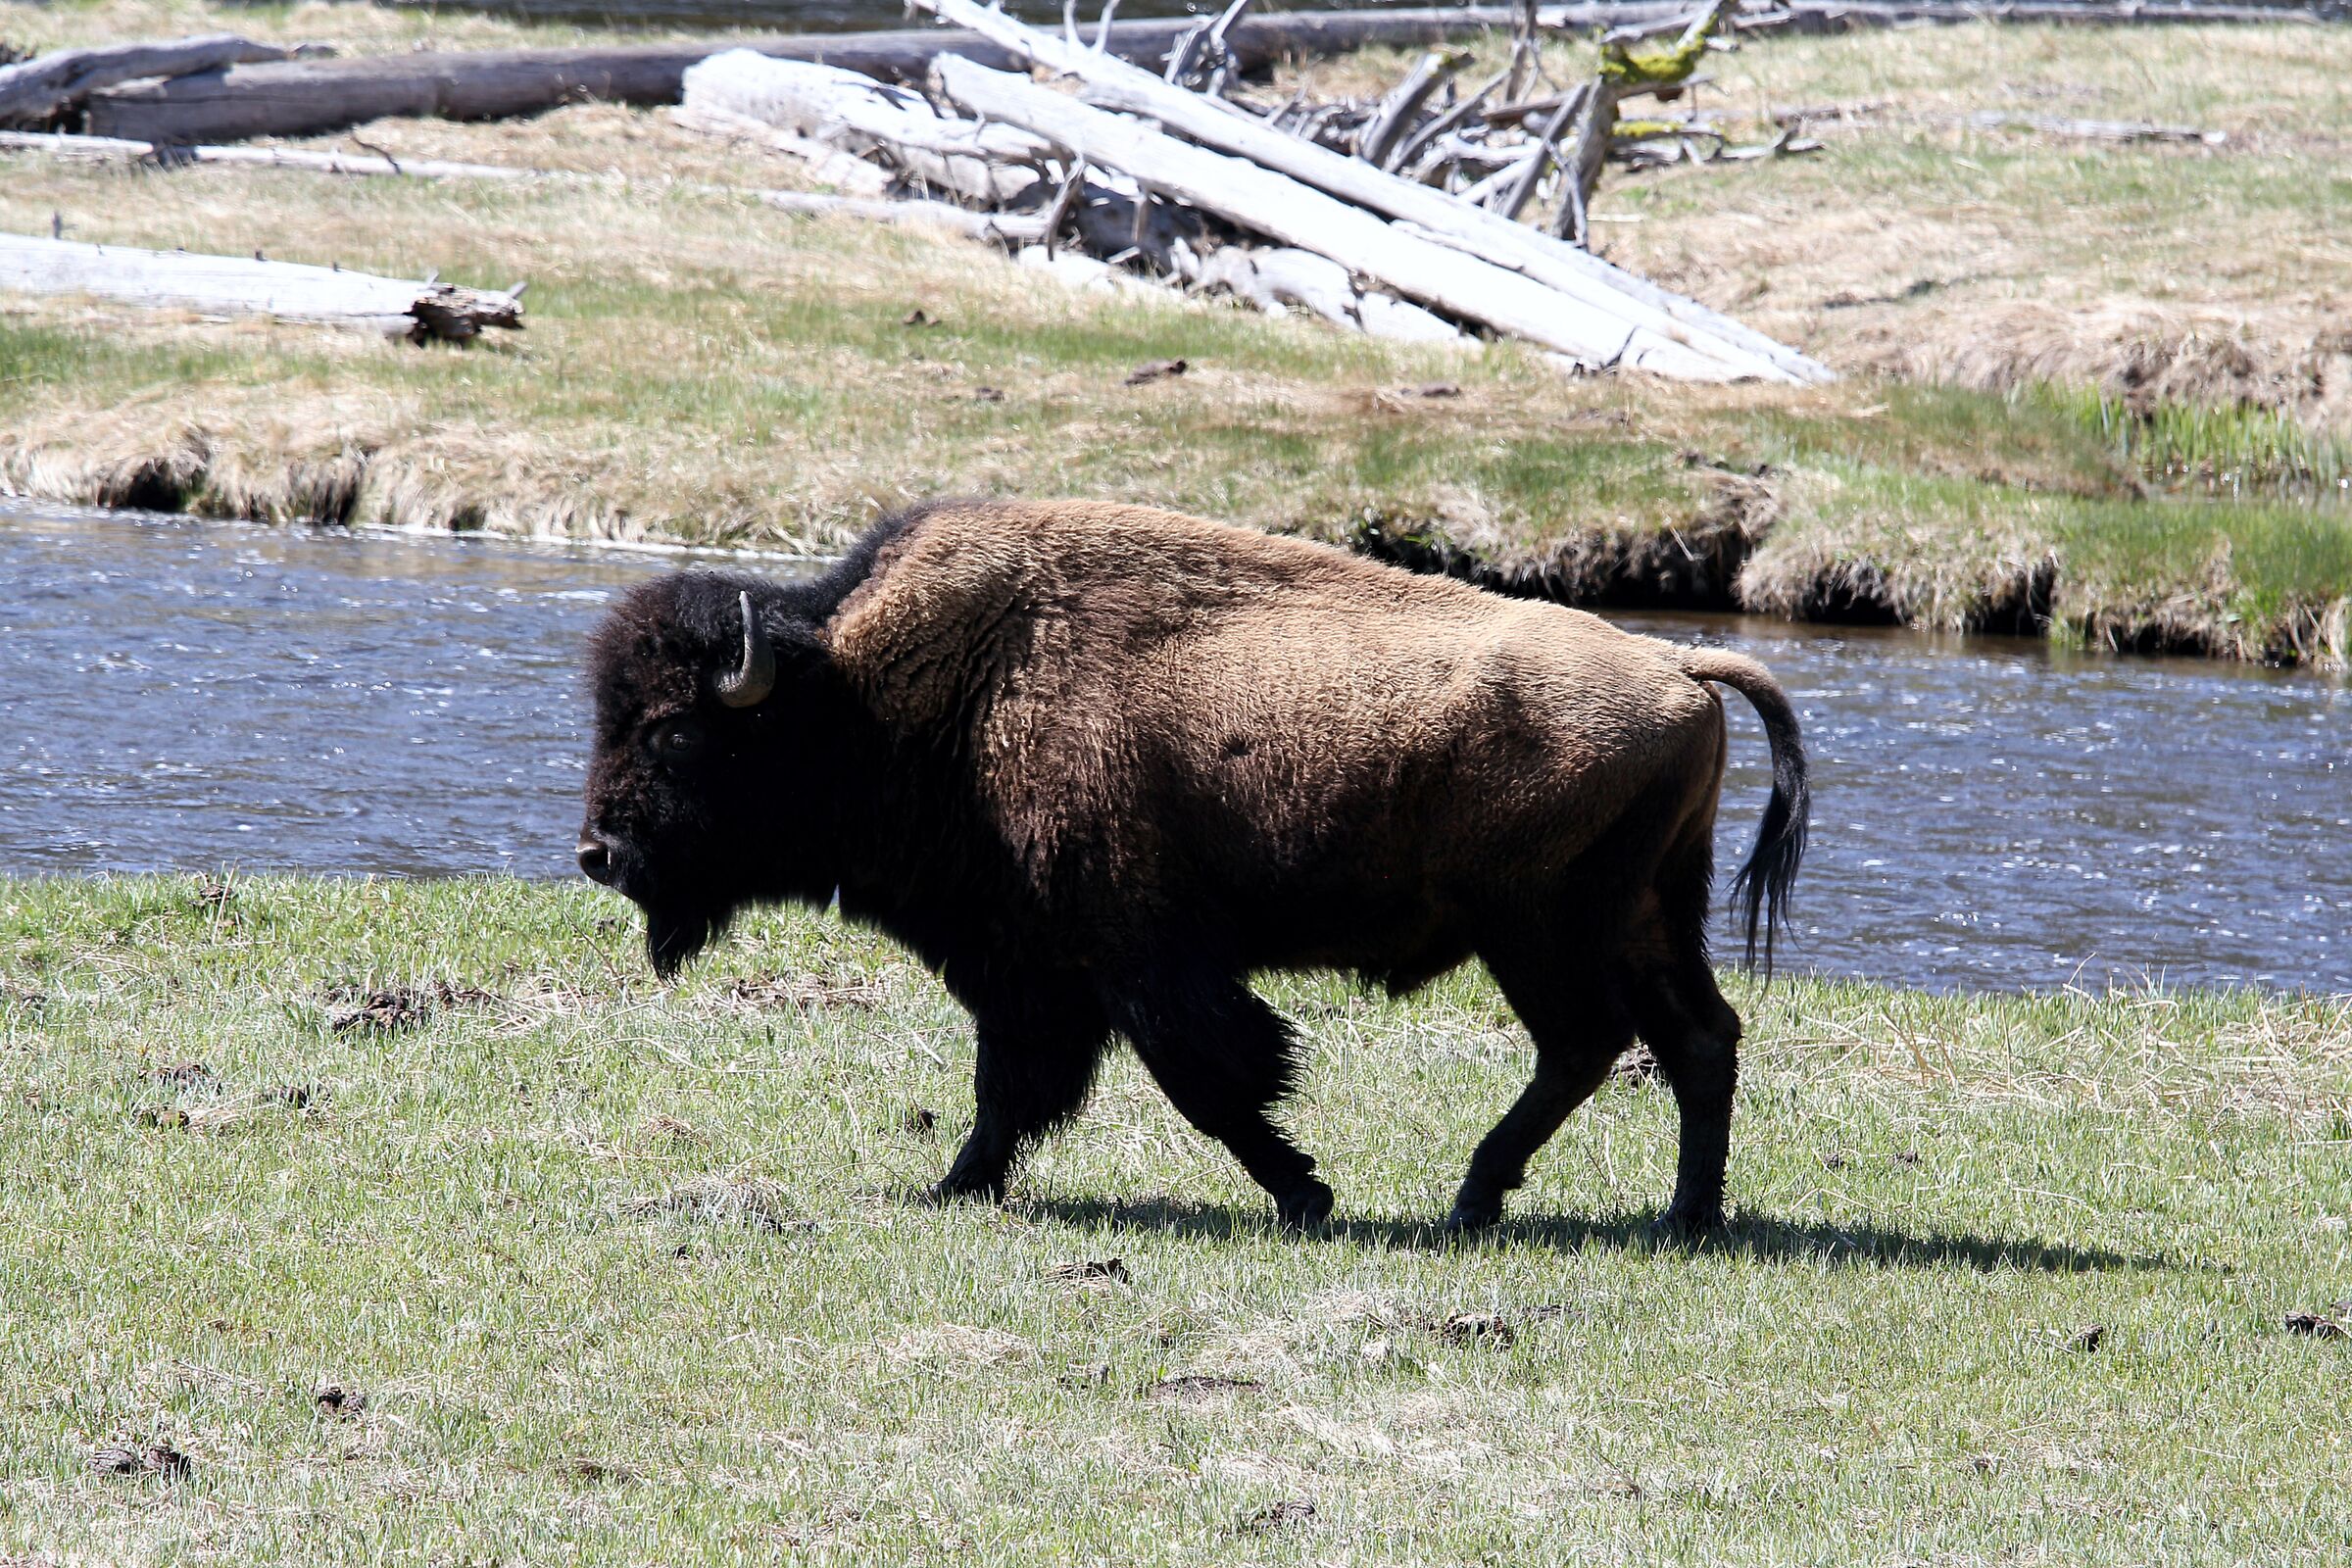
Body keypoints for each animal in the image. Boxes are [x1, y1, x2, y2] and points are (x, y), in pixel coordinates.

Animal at [579, 500, 1807, 1232]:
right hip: (1649, 917)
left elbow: (1208, 1080)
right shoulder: (1030, 968)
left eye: (677, 733)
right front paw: (956, 1185)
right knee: (1699, 1038)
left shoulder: (1138, 956)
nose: (598, 852)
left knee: (1589, 1043)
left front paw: (1306, 1192)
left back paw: (1474, 1200)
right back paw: (1685, 1218)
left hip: (1542, 930)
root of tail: (1679, 666)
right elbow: (1011, 1088)